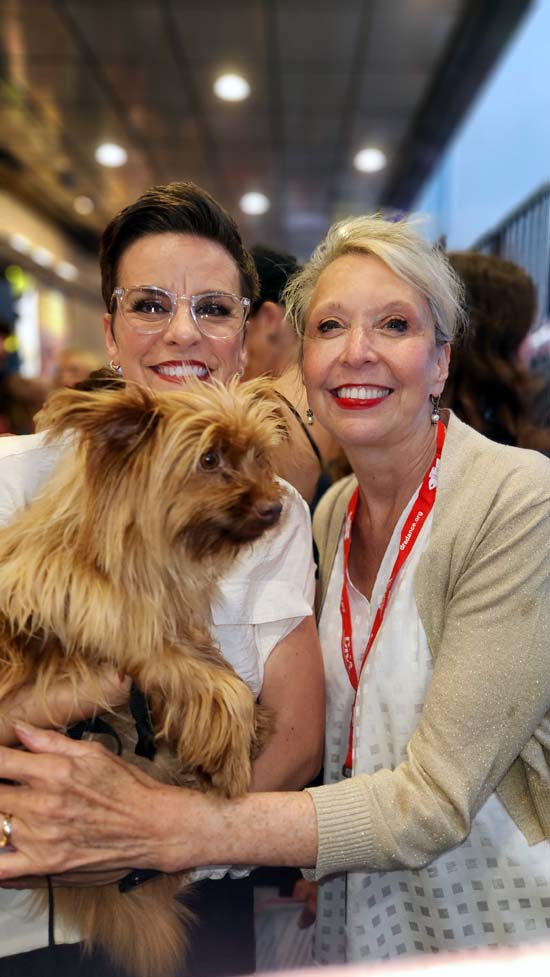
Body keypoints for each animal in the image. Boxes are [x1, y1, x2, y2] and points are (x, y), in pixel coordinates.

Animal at [0, 378, 292, 976]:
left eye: (258, 454)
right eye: (209, 459)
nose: (275, 506)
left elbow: (218, 670)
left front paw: (245, 733)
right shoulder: (122, 633)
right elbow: (217, 684)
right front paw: (230, 754)